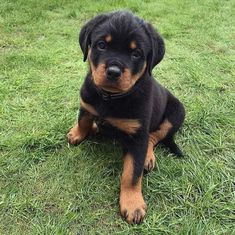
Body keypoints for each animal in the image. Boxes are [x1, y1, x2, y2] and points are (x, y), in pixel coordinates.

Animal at [66, 11, 185, 224]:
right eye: (101, 45)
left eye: (136, 53)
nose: (113, 72)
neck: (110, 97)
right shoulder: (86, 102)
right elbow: (83, 120)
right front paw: (77, 133)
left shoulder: (137, 136)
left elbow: (132, 173)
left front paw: (132, 204)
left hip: (176, 112)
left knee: (154, 136)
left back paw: (148, 157)